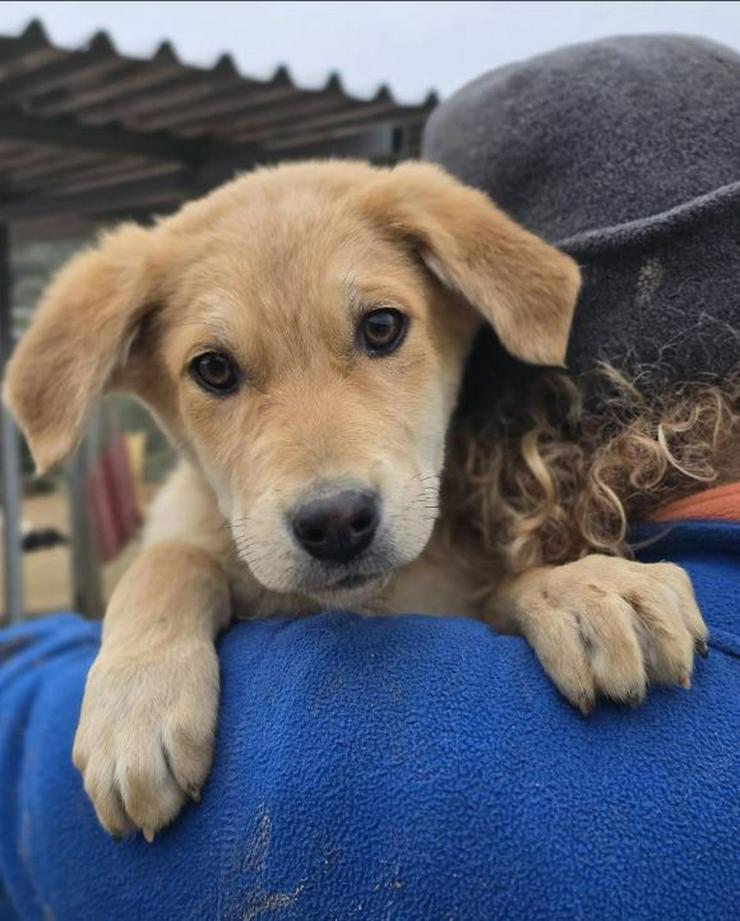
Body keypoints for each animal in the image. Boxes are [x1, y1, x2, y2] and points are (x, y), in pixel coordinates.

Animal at [4, 160, 704, 840]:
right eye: (213, 369)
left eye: (382, 326)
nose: (336, 522)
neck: (367, 604)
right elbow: (170, 560)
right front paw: (138, 703)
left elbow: (500, 591)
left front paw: (588, 590)